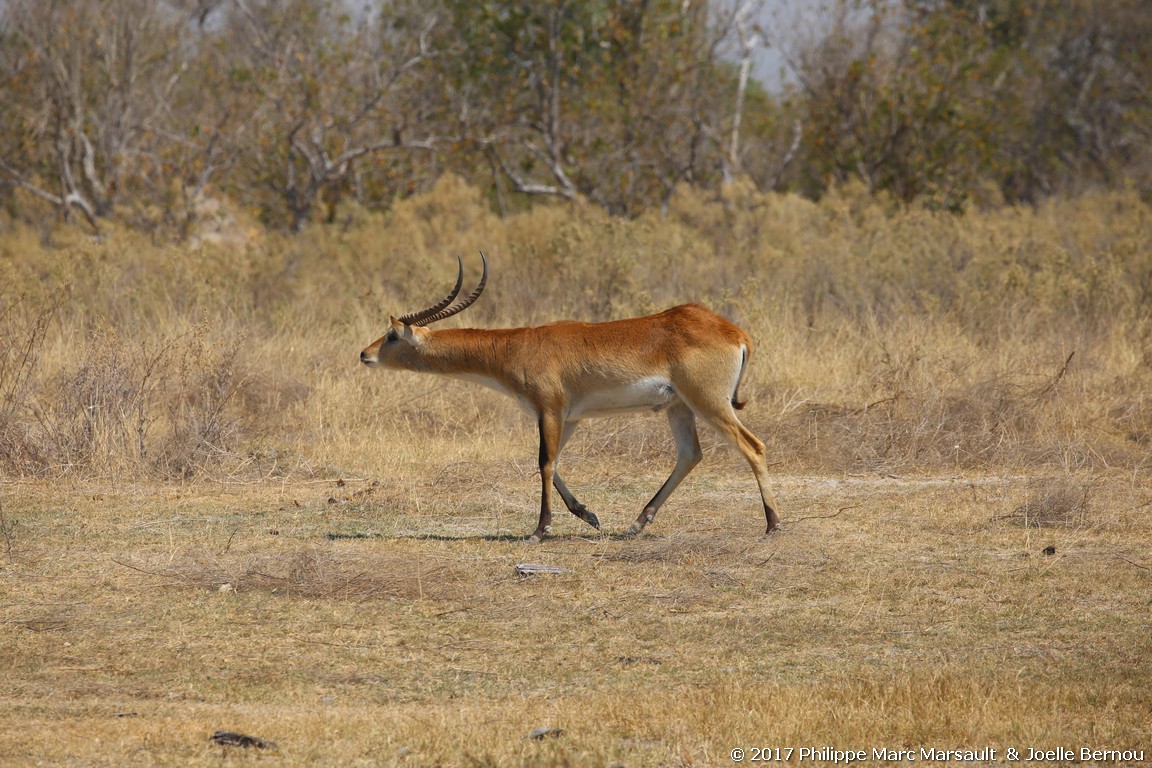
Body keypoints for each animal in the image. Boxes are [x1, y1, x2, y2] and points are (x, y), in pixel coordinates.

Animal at [361, 252, 783, 541]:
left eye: (393, 335)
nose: (364, 354)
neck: (516, 347)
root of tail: (734, 332)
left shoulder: (548, 409)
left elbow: (544, 462)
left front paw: (539, 530)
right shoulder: (570, 417)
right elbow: (553, 461)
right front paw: (588, 514)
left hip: (708, 403)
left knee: (753, 446)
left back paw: (772, 525)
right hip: (679, 407)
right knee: (690, 455)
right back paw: (635, 524)